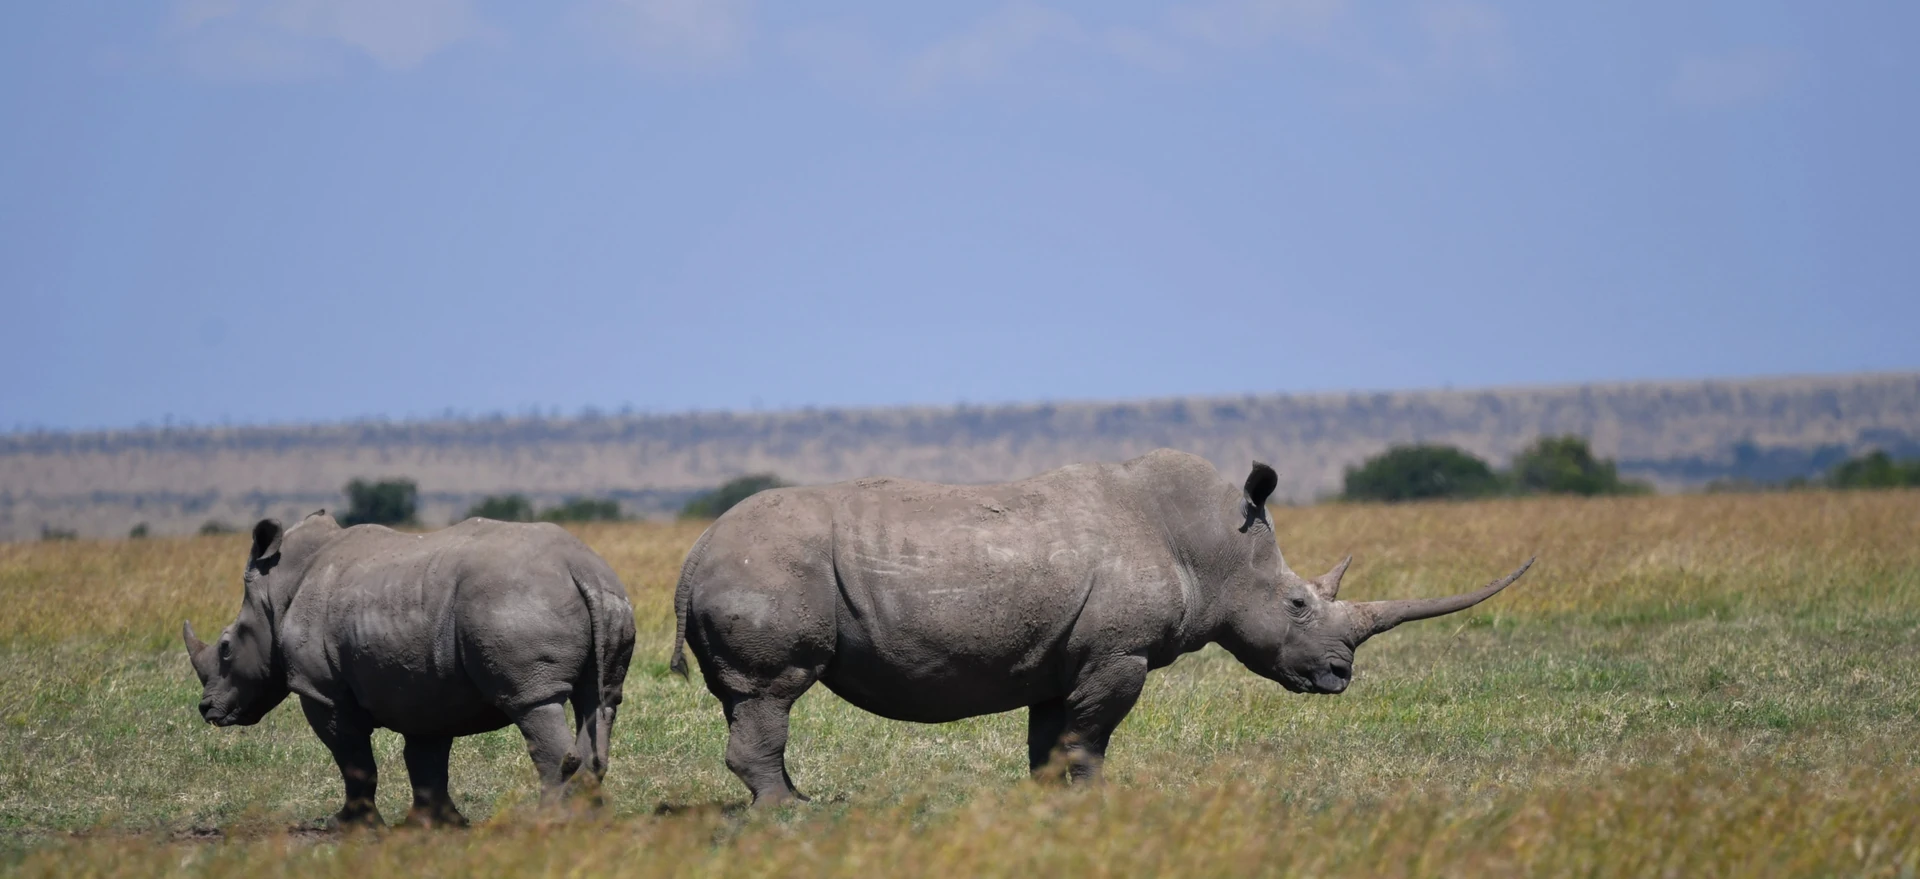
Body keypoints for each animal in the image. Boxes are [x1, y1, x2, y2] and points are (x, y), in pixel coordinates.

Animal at [184, 511, 636, 827]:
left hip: (516, 601)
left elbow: (353, 758)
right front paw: (433, 824)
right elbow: (425, 757)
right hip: (606, 598)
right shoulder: (424, 683)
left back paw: (546, 822)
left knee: (533, 702)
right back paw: (590, 821)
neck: (277, 592)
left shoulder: (320, 690)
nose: (206, 709)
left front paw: (348, 826)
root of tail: (581, 569)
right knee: (598, 701)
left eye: (225, 648)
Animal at [669, 449, 1531, 804]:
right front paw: (1096, 803)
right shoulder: (1119, 652)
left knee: (751, 700)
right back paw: (793, 815)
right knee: (774, 692)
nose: (1340, 676)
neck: (1215, 546)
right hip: (766, 569)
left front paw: (1052, 805)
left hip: (749, 565)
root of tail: (695, 549)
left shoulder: (1064, 654)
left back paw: (796, 801)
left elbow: (1053, 738)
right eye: (1296, 605)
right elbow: (1091, 736)